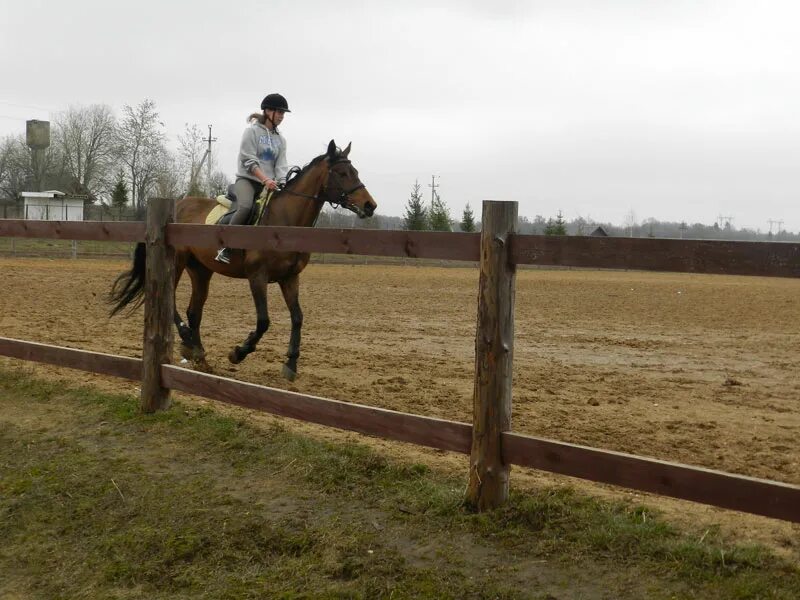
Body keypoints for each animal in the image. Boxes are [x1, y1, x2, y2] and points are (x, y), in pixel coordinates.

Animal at [107, 141, 378, 380]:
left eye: (355, 172)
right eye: (342, 173)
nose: (370, 205)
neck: (285, 223)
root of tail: (178, 204)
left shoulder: (290, 278)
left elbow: (298, 317)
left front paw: (291, 364)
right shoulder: (257, 277)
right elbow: (263, 321)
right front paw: (238, 352)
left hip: (201, 270)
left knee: (194, 311)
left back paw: (197, 353)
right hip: (176, 264)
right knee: (170, 300)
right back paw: (186, 338)